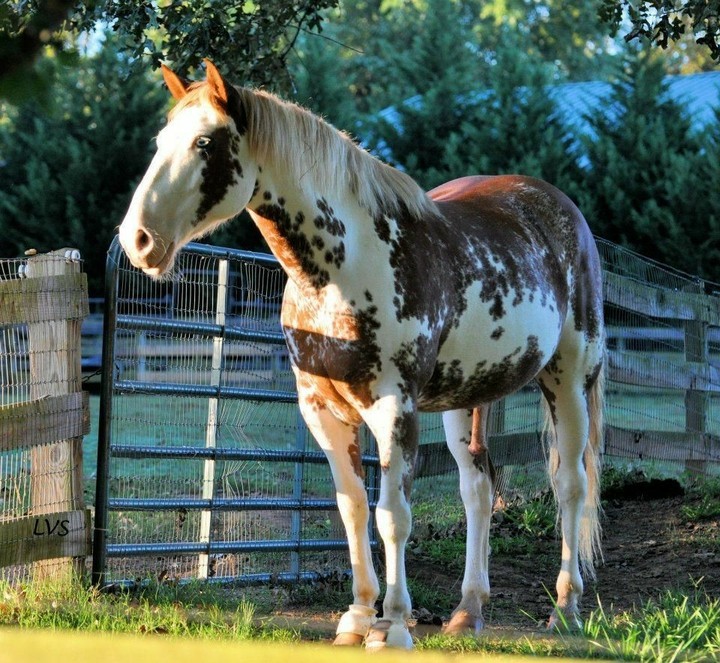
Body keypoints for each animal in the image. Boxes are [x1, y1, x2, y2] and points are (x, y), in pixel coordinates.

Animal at [118, 60, 605, 650]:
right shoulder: (323, 411)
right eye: (160, 141)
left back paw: (567, 608)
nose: (138, 240)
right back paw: (467, 611)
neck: (342, 267)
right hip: (465, 397)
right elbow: (352, 510)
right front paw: (356, 617)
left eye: (205, 142)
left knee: (570, 484)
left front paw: (392, 624)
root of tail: (562, 210)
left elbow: (392, 516)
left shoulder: (394, 409)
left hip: (568, 379)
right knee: (477, 490)